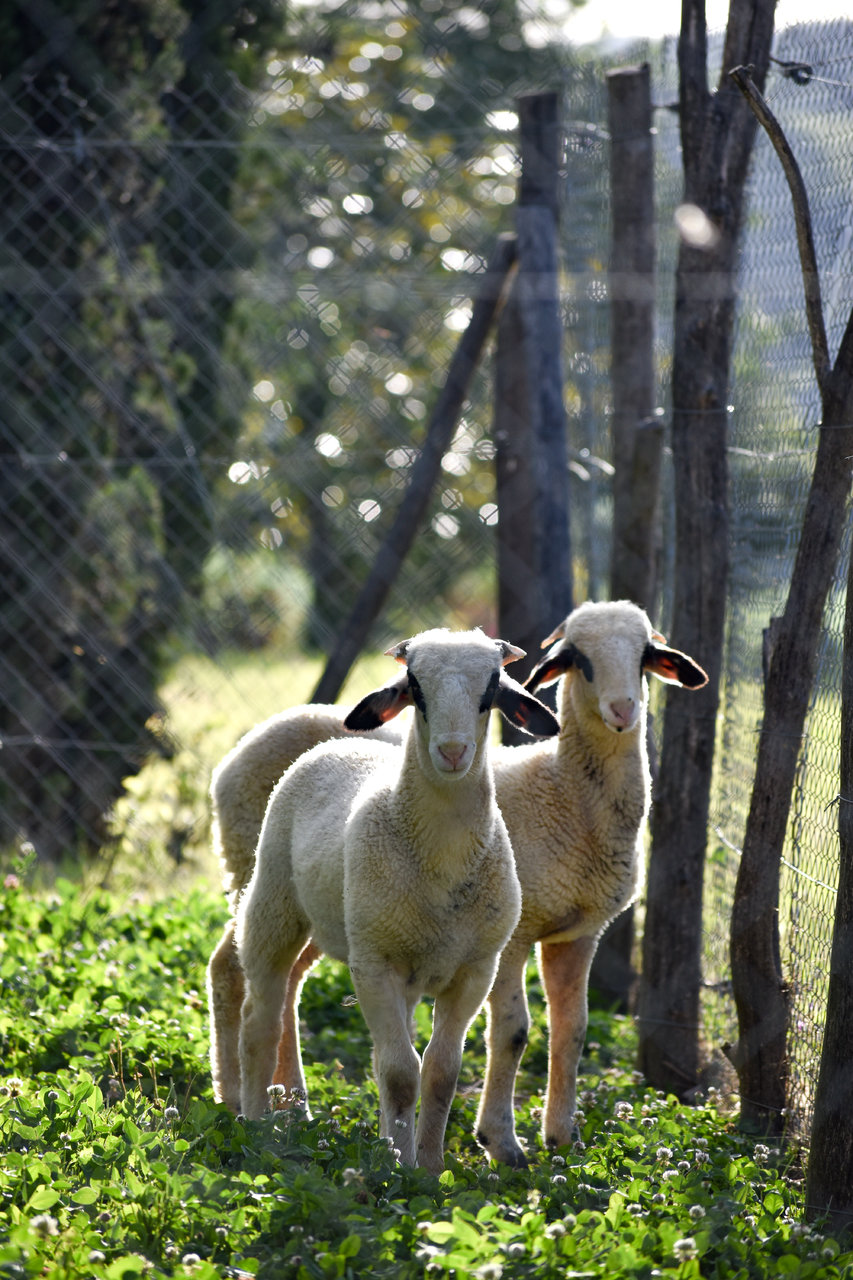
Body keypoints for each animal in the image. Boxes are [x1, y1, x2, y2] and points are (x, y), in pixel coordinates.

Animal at [229, 624, 558, 1172]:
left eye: (491, 687)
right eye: (415, 688)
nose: (452, 752)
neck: (442, 859)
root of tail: (337, 744)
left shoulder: (474, 970)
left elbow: (439, 1071)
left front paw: (427, 1166)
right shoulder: (374, 964)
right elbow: (402, 1073)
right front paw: (399, 1169)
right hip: (274, 899)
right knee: (261, 1019)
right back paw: (255, 1127)